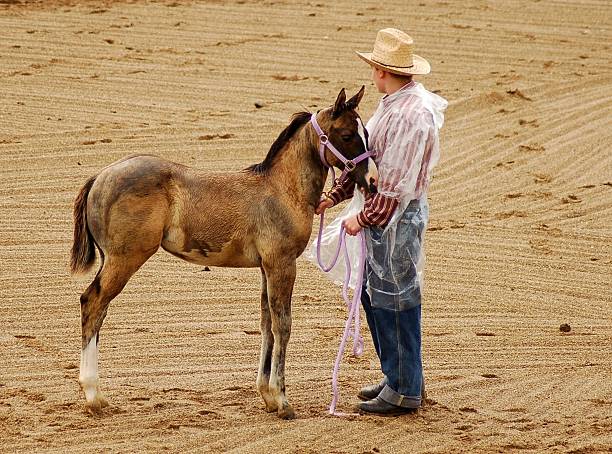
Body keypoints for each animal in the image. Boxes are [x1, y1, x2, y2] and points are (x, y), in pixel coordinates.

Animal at [71, 86, 372, 418]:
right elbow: (283, 325)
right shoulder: (281, 264)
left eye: (367, 133)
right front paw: (282, 401)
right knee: (93, 303)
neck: (283, 190)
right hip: (125, 258)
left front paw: (267, 396)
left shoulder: (266, 267)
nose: (372, 181)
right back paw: (94, 395)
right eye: (347, 135)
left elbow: (266, 324)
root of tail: (99, 177)